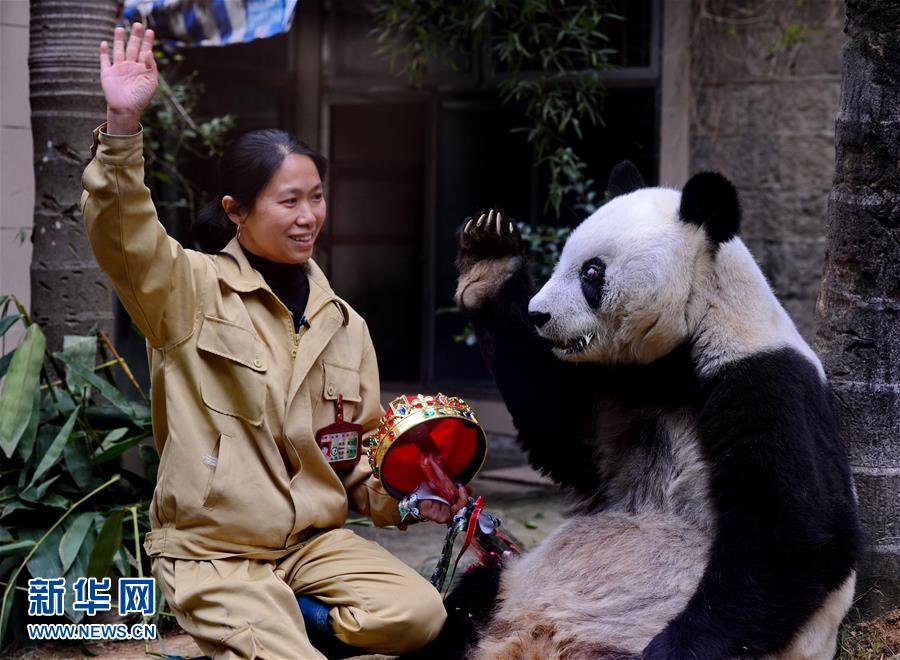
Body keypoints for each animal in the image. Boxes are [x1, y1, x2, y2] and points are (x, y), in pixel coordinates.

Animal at [418, 164, 860, 660]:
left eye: (592, 272)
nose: (537, 315)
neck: (687, 341)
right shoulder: (619, 384)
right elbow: (562, 437)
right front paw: (490, 265)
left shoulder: (763, 379)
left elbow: (796, 530)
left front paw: (674, 650)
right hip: (510, 588)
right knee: (468, 600)